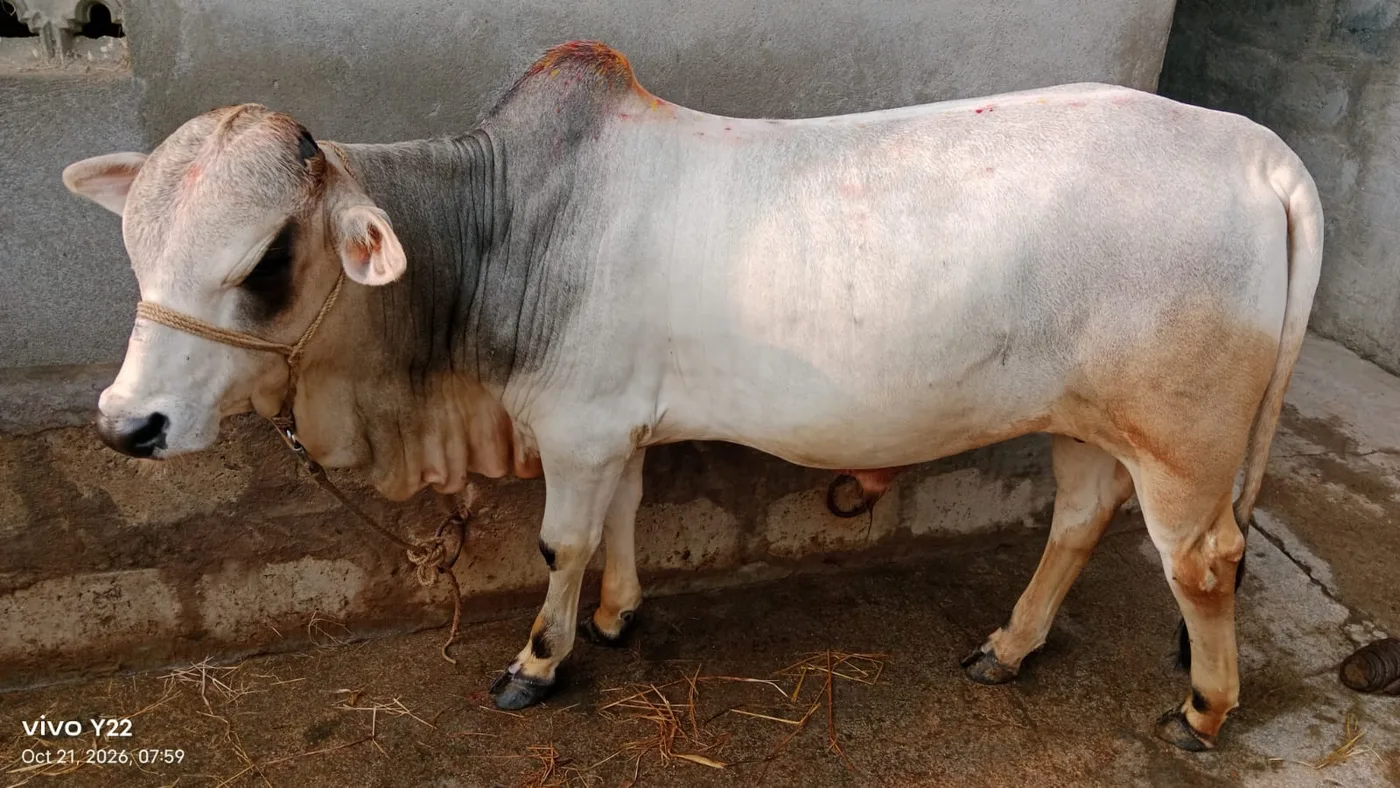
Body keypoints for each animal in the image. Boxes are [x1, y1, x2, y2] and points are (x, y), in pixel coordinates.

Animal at [62, 41, 1321, 750]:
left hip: (1182, 443)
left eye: (268, 256)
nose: (130, 422)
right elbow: (623, 518)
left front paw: (537, 661)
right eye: (133, 245)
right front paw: (620, 615)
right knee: (1076, 518)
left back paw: (1202, 710)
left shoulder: (573, 429)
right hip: (1093, 422)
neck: (505, 226)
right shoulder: (616, 426)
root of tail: (1256, 151)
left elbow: (562, 543)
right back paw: (1006, 647)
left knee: (1203, 561)